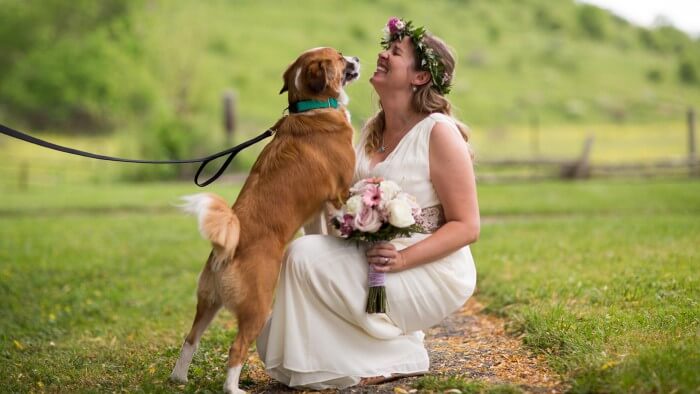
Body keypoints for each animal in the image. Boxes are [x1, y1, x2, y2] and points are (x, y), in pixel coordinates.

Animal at [168, 47, 356, 394]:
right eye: (339, 57)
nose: (357, 59)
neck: (312, 108)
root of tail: (227, 249)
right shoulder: (338, 195)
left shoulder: (314, 212)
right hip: (259, 307)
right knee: (236, 349)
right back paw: (233, 388)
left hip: (208, 304)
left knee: (190, 339)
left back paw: (179, 377)